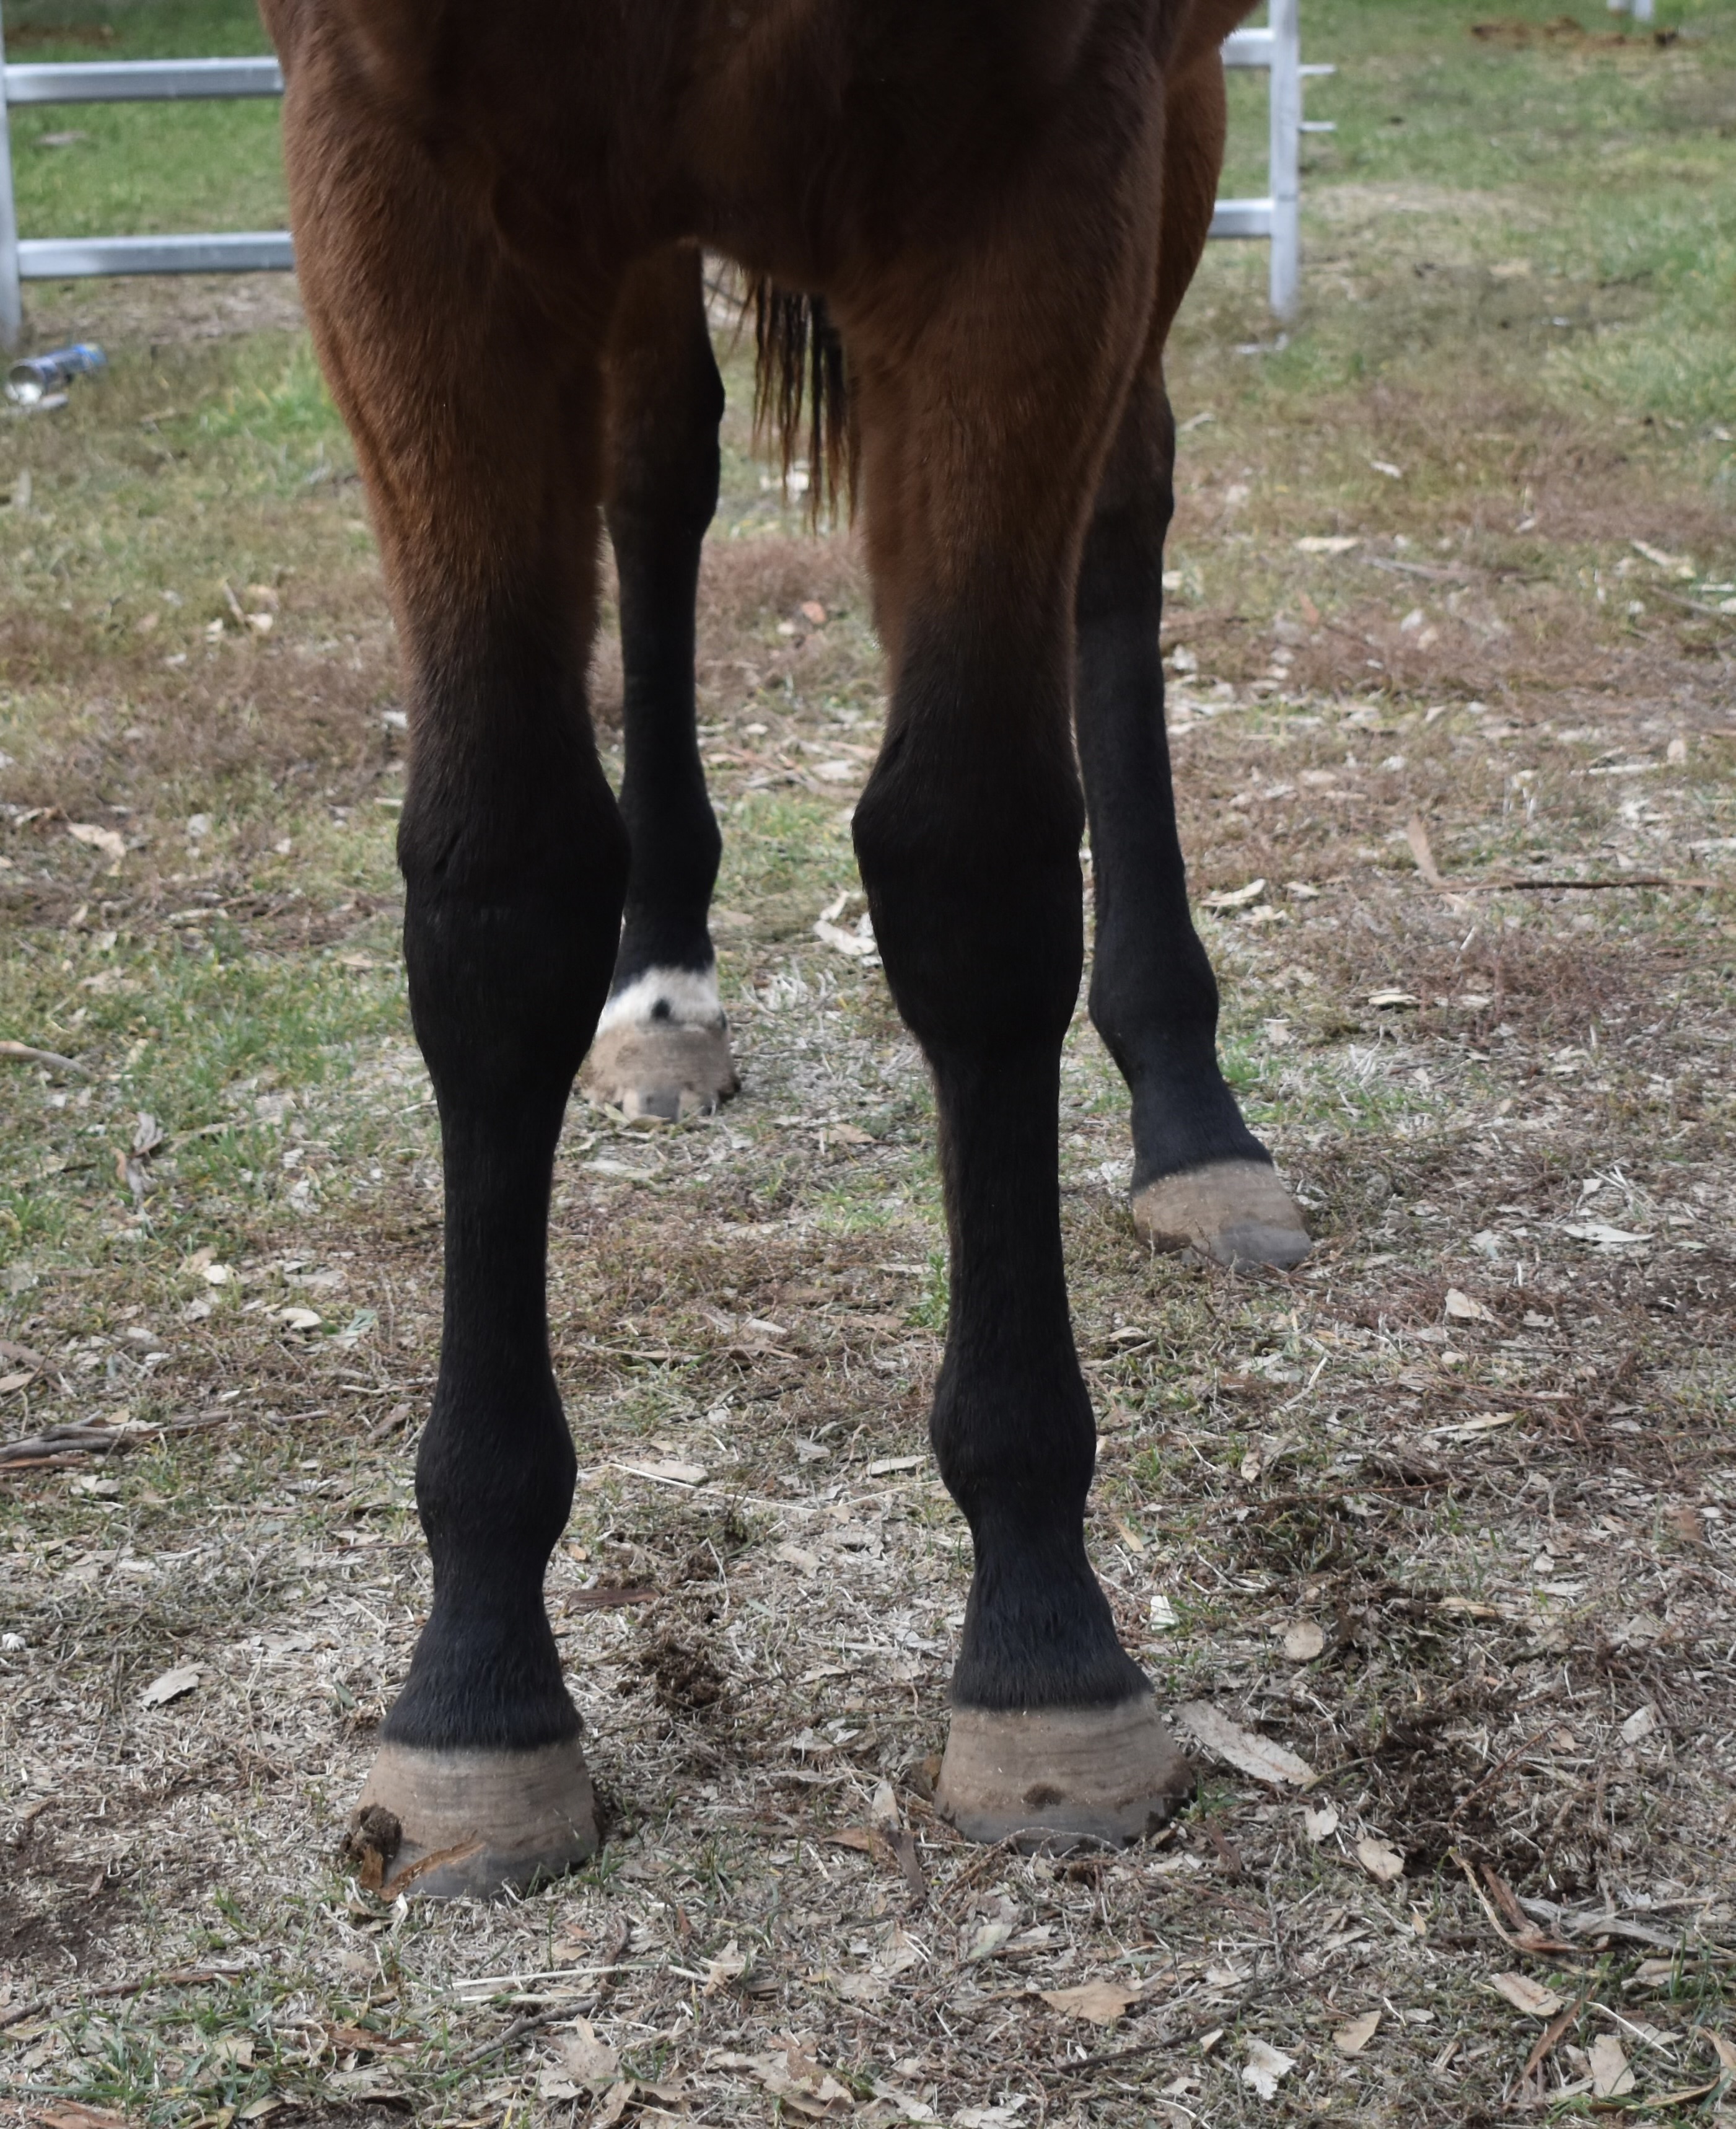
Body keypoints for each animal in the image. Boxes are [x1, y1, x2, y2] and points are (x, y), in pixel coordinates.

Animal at [260, 0, 1308, 1895]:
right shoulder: (396, 160)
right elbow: (500, 885)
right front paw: (476, 1681)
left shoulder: (1047, 165)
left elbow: (971, 867)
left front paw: (1042, 1638)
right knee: (656, 468)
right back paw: (665, 983)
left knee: (1119, 520)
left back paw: (1192, 1113)